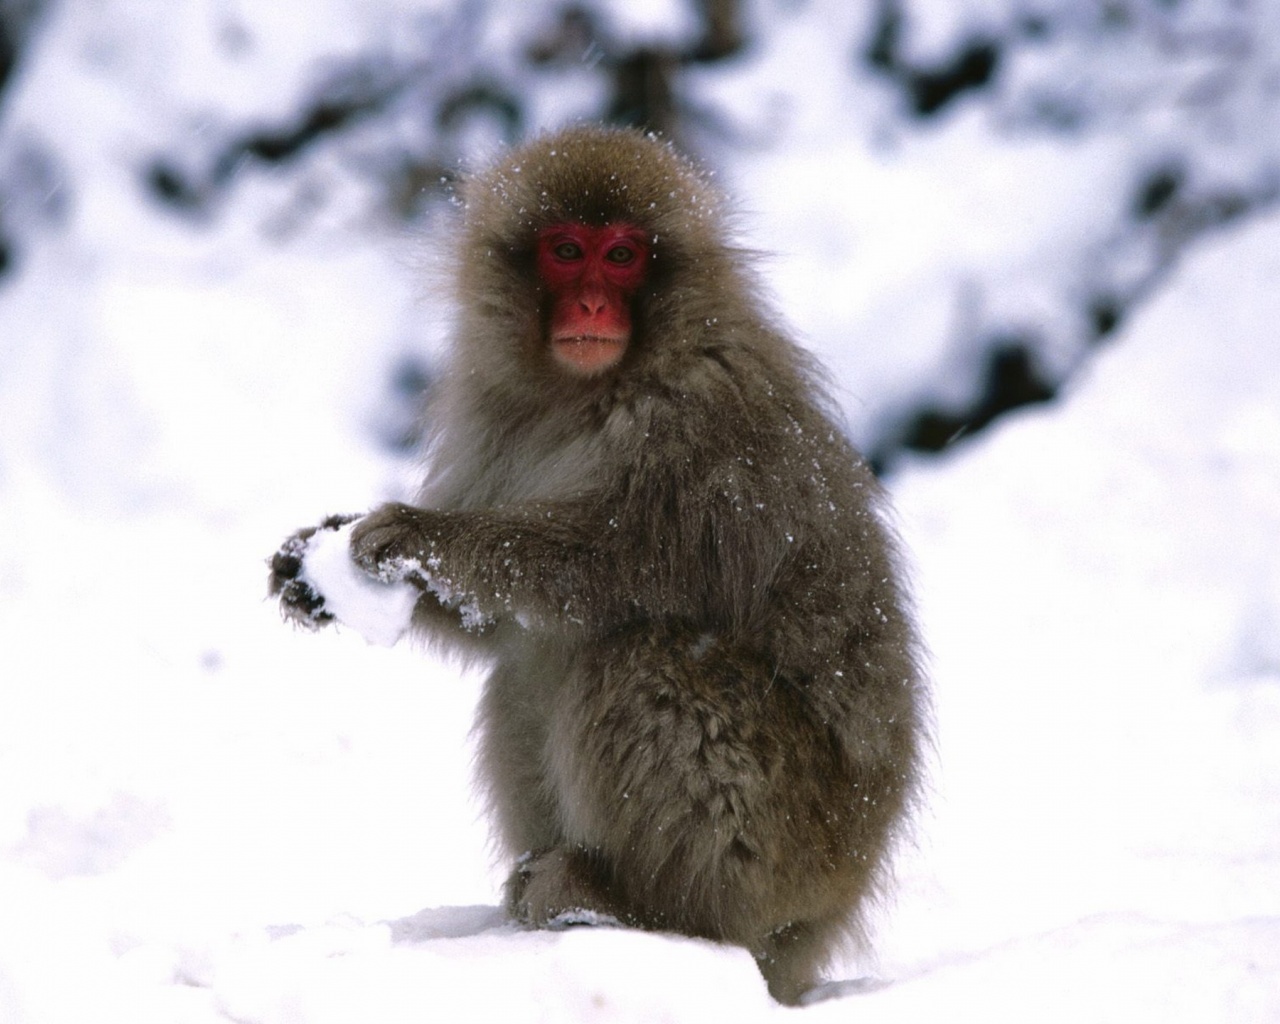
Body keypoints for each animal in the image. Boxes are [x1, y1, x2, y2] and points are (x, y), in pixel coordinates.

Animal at [272, 124, 931, 1003]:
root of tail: (831, 914)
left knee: (640, 656)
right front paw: (315, 565)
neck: (585, 394)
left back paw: (641, 909)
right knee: (524, 671)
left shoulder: (696, 433)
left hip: (783, 851)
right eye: (565, 250)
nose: (591, 304)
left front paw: (415, 536)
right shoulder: (493, 412)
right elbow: (497, 626)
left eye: (621, 256)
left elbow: (599, 568)